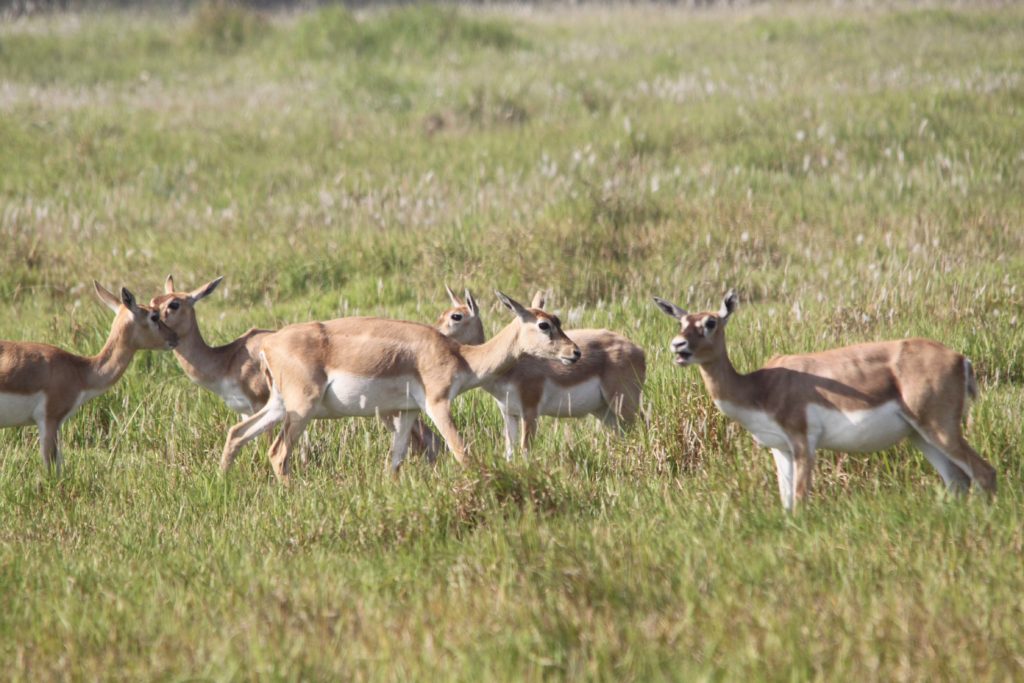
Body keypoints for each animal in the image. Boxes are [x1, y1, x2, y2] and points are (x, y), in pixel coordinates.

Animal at [219, 290, 581, 483]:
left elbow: (394, 460)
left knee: (237, 434)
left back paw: (224, 482)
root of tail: (270, 344)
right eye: (544, 325)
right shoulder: (437, 404)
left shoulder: (407, 412)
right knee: (278, 453)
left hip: (278, 406)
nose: (575, 352)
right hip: (301, 409)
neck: (459, 356)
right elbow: (461, 451)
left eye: (558, 319)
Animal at [481, 290, 647, 456]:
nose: (576, 352)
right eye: (544, 324)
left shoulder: (530, 413)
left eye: (549, 323)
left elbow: (525, 451)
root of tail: (638, 350)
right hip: (605, 411)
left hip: (624, 404)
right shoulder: (509, 413)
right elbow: (510, 454)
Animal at [651, 290, 995, 509]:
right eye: (681, 322)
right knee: (957, 480)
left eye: (710, 323)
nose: (678, 345)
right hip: (919, 435)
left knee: (984, 473)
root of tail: (960, 359)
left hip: (939, 427)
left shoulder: (804, 441)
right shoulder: (780, 449)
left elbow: (802, 500)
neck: (758, 387)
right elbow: (787, 503)